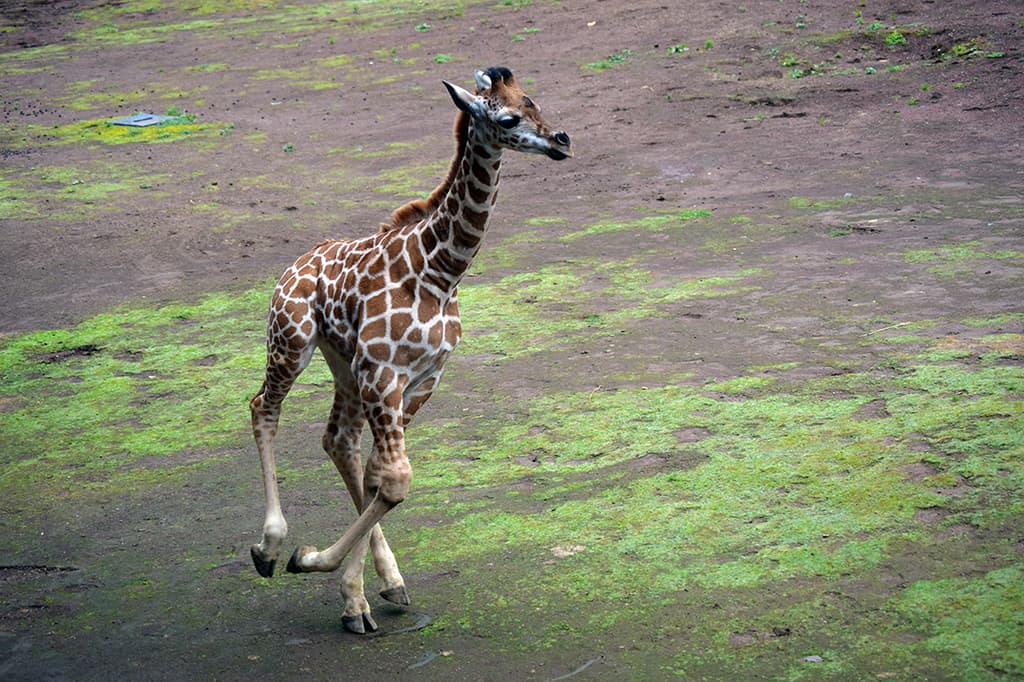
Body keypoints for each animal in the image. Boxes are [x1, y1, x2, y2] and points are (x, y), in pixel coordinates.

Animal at [248, 66, 571, 633]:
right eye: (508, 117)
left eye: (534, 101)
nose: (561, 140)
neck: (441, 272)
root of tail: (293, 265)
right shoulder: (383, 370)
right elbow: (396, 480)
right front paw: (312, 562)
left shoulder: (421, 377)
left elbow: (382, 476)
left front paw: (359, 593)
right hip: (292, 341)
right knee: (263, 406)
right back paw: (269, 548)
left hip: (342, 363)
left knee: (339, 440)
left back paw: (374, 584)